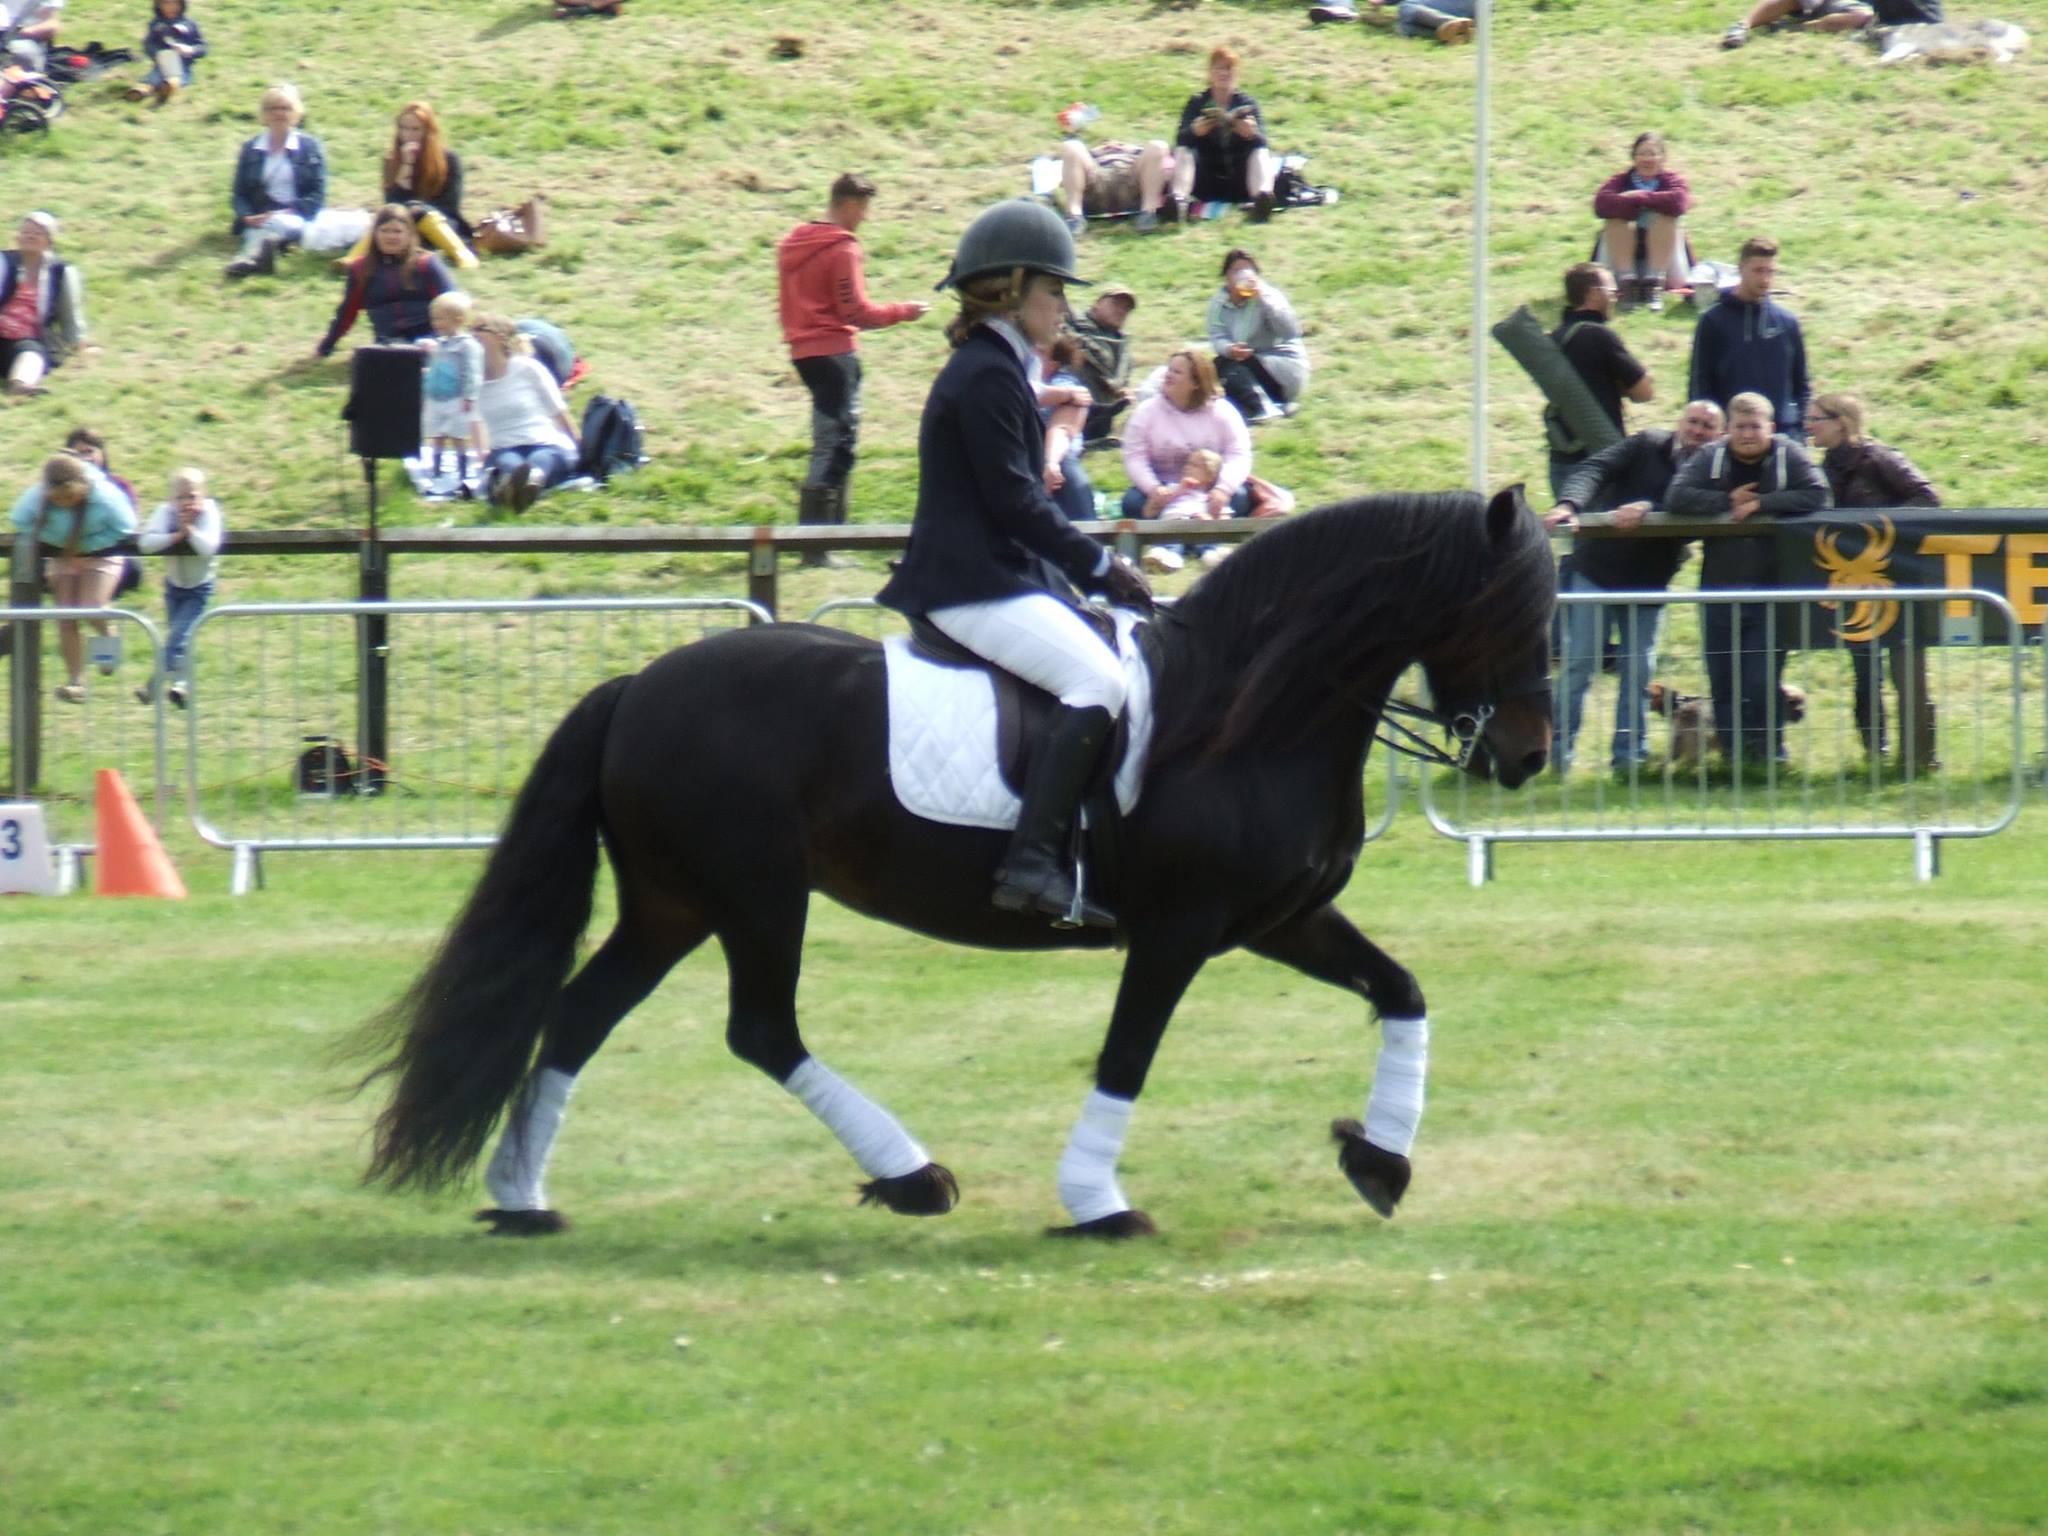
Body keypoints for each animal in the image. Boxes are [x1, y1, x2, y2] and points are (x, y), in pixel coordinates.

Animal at [364, 489, 1548, 1236]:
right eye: (1508, 612)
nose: (1528, 757)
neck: (1250, 711)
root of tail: (637, 686)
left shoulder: (1281, 919)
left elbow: (1401, 992)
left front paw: (1379, 1161)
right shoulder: (1174, 935)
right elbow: (1127, 1059)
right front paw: (1098, 1206)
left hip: (673, 903)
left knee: (579, 1015)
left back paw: (521, 1198)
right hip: (755, 895)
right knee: (760, 1029)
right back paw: (912, 1177)